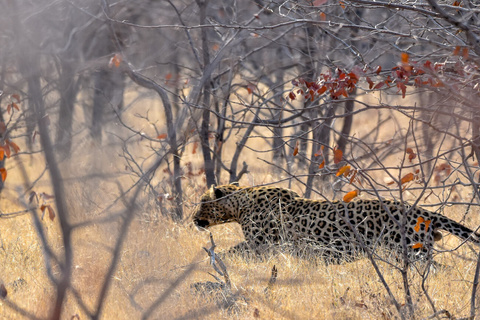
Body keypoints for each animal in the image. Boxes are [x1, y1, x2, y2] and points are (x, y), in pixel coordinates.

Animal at [192, 184, 480, 262]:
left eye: (202, 202)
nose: (193, 219)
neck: (241, 204)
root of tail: (421, 210)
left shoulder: (262, 244)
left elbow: (235, 251)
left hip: (410, 251)